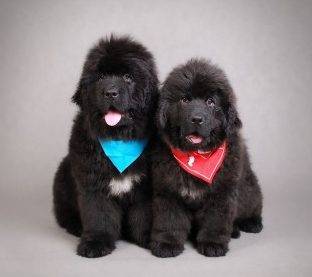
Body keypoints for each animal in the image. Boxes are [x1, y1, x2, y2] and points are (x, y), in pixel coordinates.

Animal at [52, 35, 158, 258]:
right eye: (100, 77)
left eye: (127, 77)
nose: (110, 92)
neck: (119, 139)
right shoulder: (93, 184)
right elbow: (98, 215)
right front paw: (95, 243)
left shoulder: (146, 187)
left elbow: (144, 214)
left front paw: (148, 237)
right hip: (64, 174)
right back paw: (76, 227)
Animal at [150, 58, 262, 256]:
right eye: (185, 100)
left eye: (211, 102)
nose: (196, 119)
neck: (196, 156)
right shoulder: (168, 190)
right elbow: (169, 219)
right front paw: (166, 244)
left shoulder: (221, 192)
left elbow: (215, 220)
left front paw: (212, 244)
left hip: (249, 190)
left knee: (253, 205)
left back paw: (251, 223)